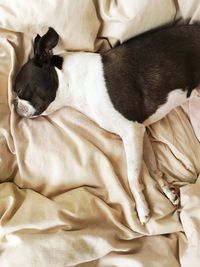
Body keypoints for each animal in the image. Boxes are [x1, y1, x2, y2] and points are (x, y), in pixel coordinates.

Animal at [12, 25, 200, 225]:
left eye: (19, 90)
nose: (13, 103)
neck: (75, 83)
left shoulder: (131, 132)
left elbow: (132, 177)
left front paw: (142, 209)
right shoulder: (140, 132)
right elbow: (153, 168)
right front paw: (167, 191)